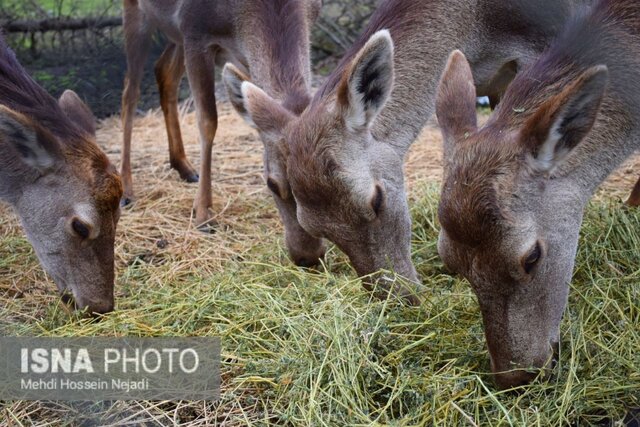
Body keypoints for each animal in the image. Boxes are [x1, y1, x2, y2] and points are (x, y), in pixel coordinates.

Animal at [119, 0, 322, 247]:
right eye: (273, 183)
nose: (308, 250)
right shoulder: (194, 32)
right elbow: (208, 121)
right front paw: (203, 214)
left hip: (175, 36)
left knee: (164, 71)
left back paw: (185, 167)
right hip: (136, 13)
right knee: (130, 92)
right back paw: (126, 189)